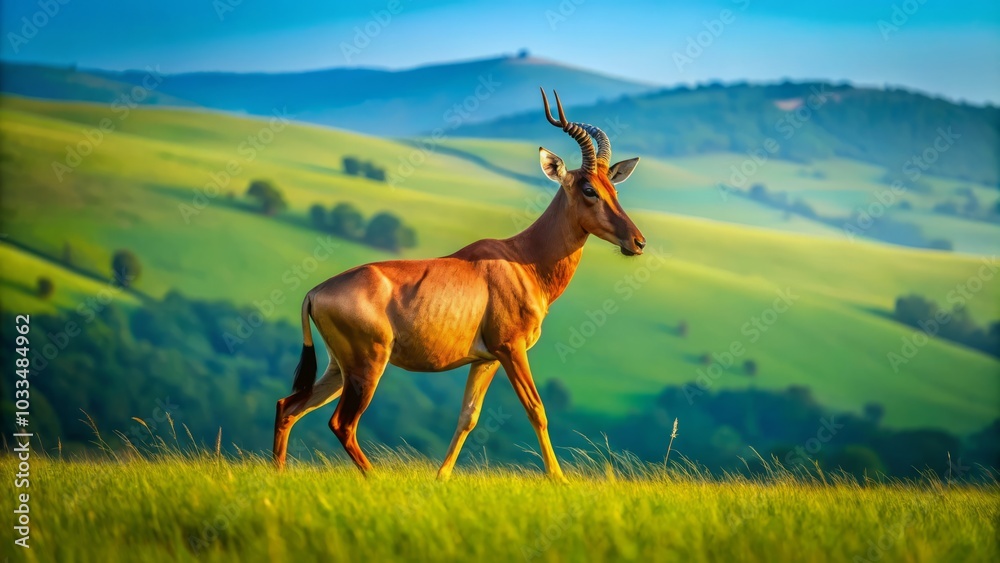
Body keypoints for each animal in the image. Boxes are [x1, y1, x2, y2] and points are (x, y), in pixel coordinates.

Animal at [273, 89, 645, 481]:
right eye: (589, 189)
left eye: (613, 188)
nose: (637, 242)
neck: (521, 258)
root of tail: (314, 293)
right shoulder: (511, 349)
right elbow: (536, 410)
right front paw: (558, 479)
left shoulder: (485, 359)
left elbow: (468, 416)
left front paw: (441, 477)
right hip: (367, 366)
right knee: (341, 423)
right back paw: (375, 477)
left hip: (338, 368)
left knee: (288, 406)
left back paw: (279, 472)